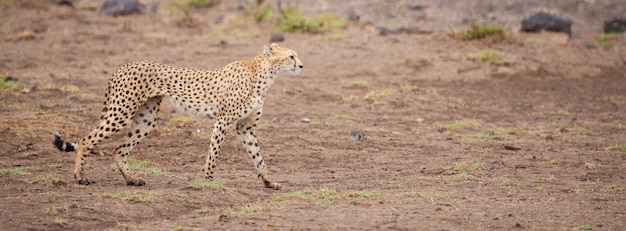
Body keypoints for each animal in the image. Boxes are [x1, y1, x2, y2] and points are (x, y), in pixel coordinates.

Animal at [53, 43, 302, 189]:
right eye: (291, 56)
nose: (301, 65)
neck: (263, 75)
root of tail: (123, 66)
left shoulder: (245, 127)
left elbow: (258, 156)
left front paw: (269, 181)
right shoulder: (222, 121)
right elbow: (213, 154)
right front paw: (208, 182)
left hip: (146, 120)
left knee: (119, 149)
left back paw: (131, 179)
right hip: (121, 112)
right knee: (86, 139)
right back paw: (80, 177)